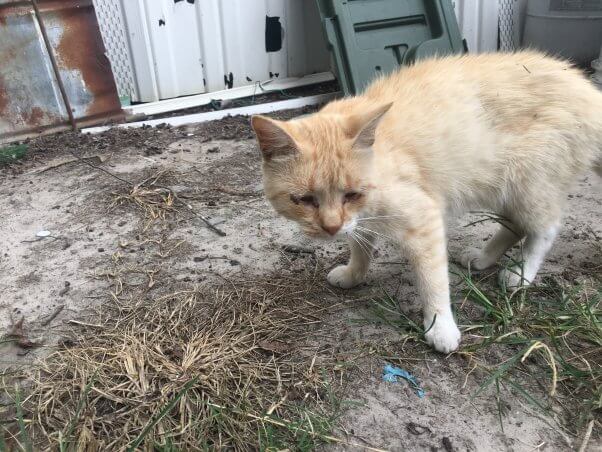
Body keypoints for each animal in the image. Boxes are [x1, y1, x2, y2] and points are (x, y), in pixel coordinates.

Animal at [248, 51, 600, 354]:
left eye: (351, 194)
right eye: (304, 199)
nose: (331, 227)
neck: (381, 155)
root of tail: (586, 89)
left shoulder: (423, 219)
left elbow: (433, 282)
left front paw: (440, 327)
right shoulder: (363, 220)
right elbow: (361, 246)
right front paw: (353, 274)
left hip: (528, 185)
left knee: (544, 229)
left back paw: (522, 273)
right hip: (504, 188)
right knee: (515, 224)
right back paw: (483, 258)